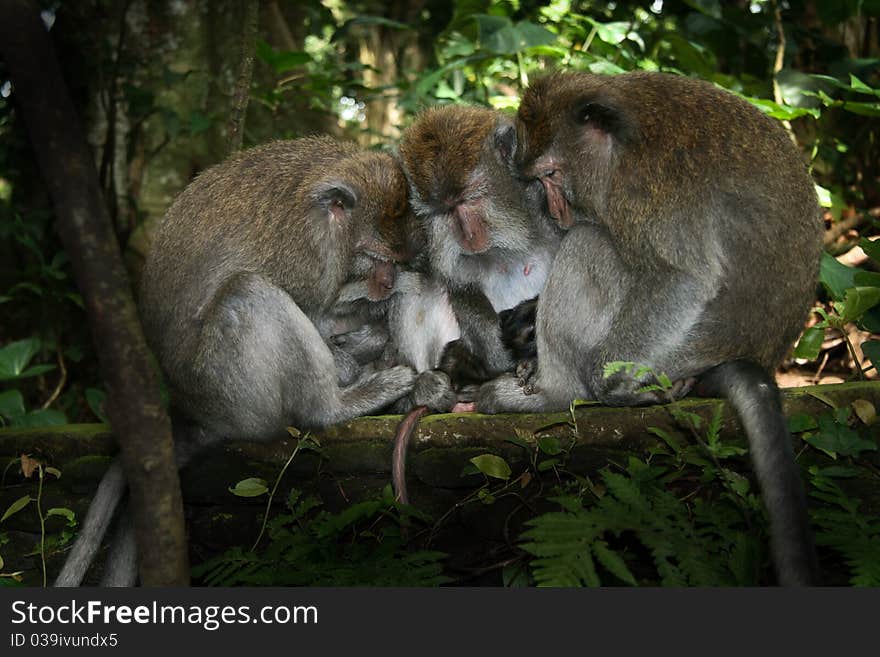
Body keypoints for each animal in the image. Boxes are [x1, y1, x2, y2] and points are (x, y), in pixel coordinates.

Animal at [55, 135, 420, 584]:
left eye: (396, 259)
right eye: (374, 256)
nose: (386, 282)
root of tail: (200, 415)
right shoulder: (306, 255)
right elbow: (314, 312)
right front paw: (362, 336)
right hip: (234, 390)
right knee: (247, 292)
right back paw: (335, 405)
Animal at [474, 72, 824, 584]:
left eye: (552, 175)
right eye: (538, 179)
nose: (557, 211)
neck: (619, 144)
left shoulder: (649, 187)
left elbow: (681, 277)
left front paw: (604, 384)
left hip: (672, 356)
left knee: (590, 244)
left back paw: (555, 392)